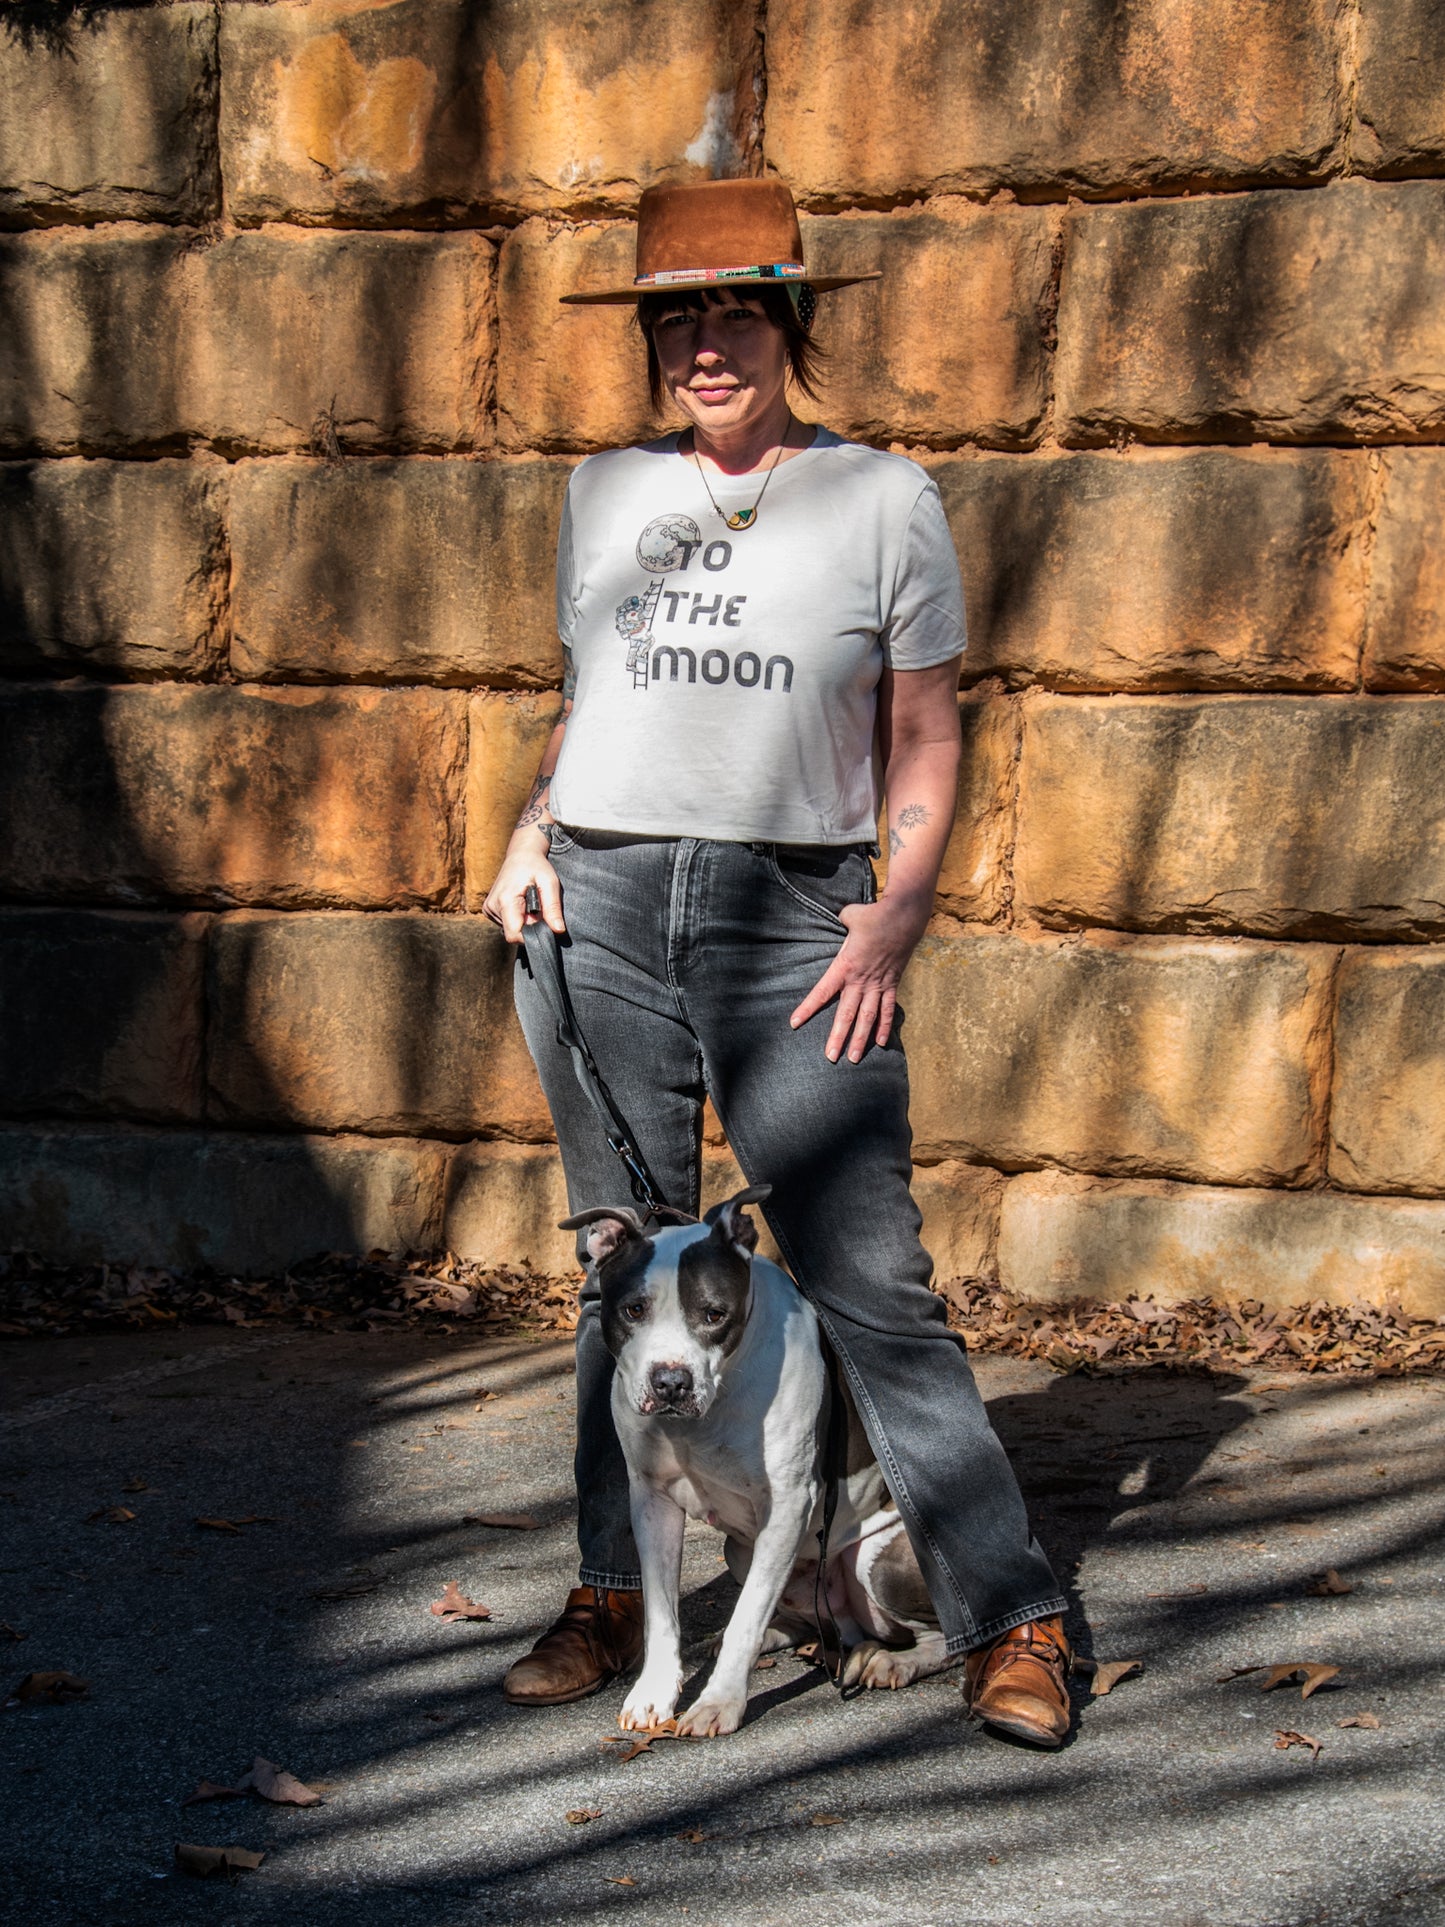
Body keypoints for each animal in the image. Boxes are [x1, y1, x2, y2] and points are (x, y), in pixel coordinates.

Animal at [562, 1179, 951, 1742]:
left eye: (714, 1314)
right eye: (634, 1311)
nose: (671, 1383)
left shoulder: (787, 1504)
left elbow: (747, 1617)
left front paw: (718, 1702)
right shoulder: (651, 1499)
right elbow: (662, 1613)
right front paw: (654, 1693)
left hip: (876, 1564)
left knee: (940, 1635)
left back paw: (894, 1661)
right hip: (742, 1553)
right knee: (795, 1620)